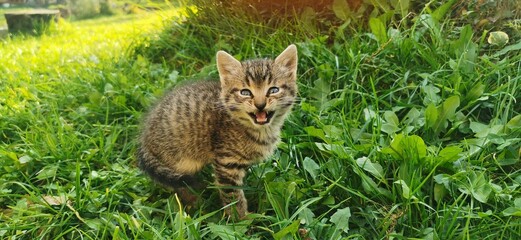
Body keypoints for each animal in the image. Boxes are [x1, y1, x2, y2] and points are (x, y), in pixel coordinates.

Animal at [135, 44, 296, 218]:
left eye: (273, 90)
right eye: (245, 92)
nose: (260, 105)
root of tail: (144, 138)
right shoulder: (226, 163)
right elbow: (232, 196)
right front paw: (243, 220)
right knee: (179, 186)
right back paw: (196, 204)